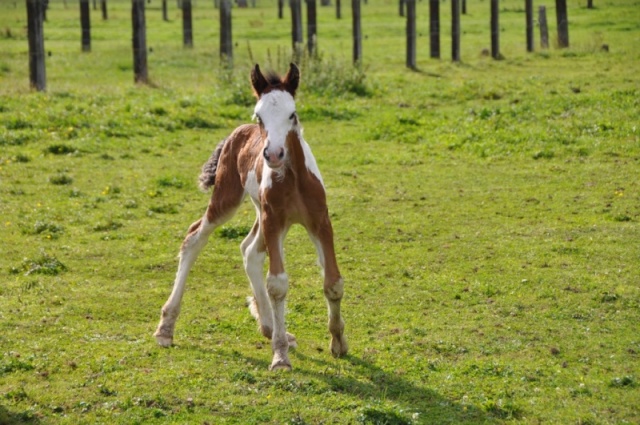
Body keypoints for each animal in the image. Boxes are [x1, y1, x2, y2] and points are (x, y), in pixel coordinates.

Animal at [153, 63, 348, 372]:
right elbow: (277, 285)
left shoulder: (319, 221)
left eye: (292, 114)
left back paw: (270, 327)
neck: (293, 178)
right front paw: (280, 357)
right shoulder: (273, 219)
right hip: (229, 200)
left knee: (249, 251)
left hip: (268, 217)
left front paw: (339, 343)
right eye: (260, 115)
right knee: (195, 237)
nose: (274, 154)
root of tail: (237, 132)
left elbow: (333, 282)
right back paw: (166, 328)